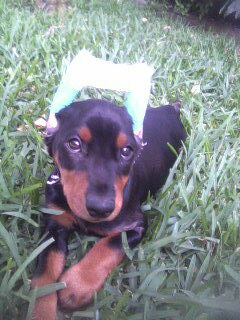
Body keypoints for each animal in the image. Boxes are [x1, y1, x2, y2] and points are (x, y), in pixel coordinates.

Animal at [31, 99, 186, 318]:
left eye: (127, 151)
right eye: (74, 144)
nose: (101, 208)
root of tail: (171, 108)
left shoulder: (136, 224)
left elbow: (109, 246)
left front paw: (77, 287)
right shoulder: (54, 223)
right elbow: (44, 274)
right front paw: (40, 311)